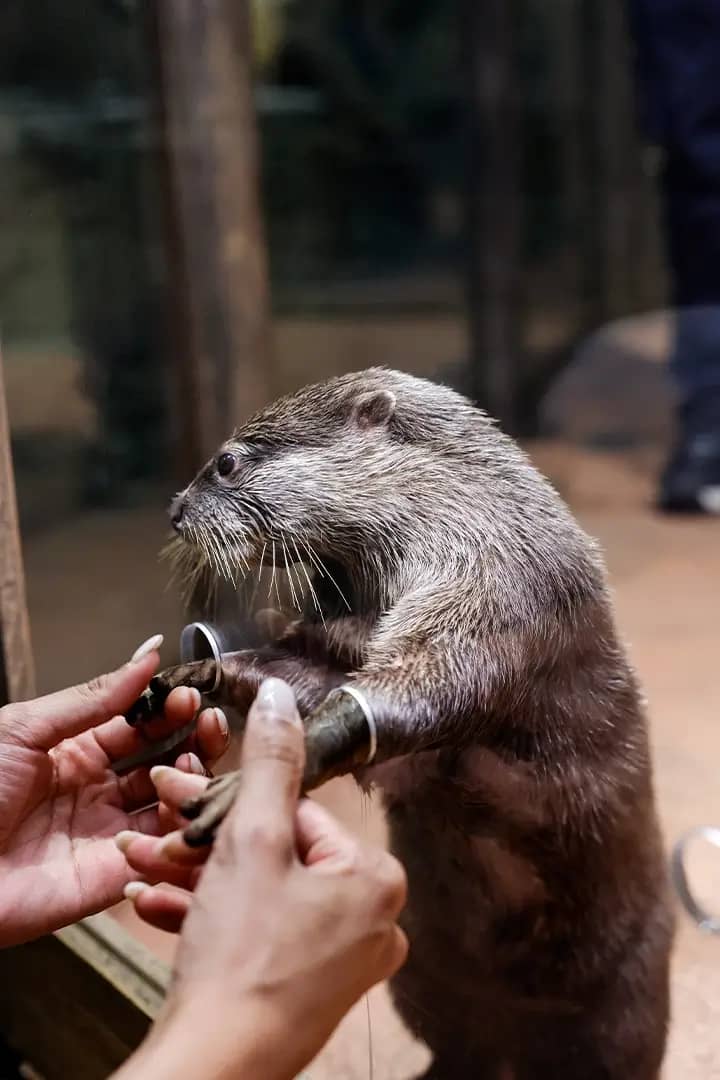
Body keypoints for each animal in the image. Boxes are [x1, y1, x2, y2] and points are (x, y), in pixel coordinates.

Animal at [126, 367, 674, 1079]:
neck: (457, 513)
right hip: (422, 984)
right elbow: (302, 674)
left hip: (629, 1011)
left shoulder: (494, 587)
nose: (174, 509)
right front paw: (191, 675)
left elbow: (426, 684)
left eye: (226, 462)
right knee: (458, 1051)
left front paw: (251, 782)